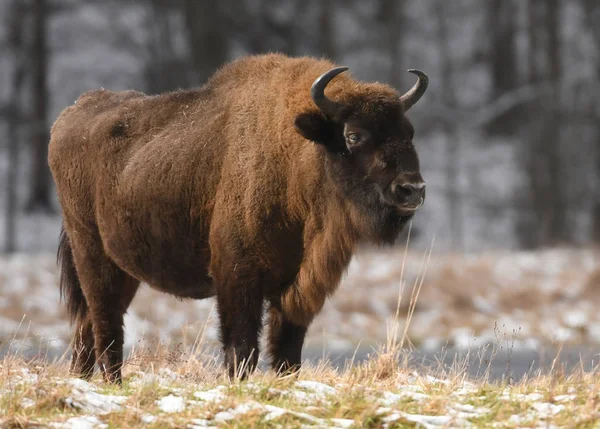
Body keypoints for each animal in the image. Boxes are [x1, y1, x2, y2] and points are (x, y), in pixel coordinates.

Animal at [50, 53, 426, 382]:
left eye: (409, 133)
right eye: (354, 135)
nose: (412, 189)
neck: (297, 156)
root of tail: (70, 115)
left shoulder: (296, 287)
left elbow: (287, 351)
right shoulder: (237, 277)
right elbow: (242, 348)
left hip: (122, 271)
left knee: (87, 326)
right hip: (93, 257)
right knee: (106, 327)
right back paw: (113, 383)